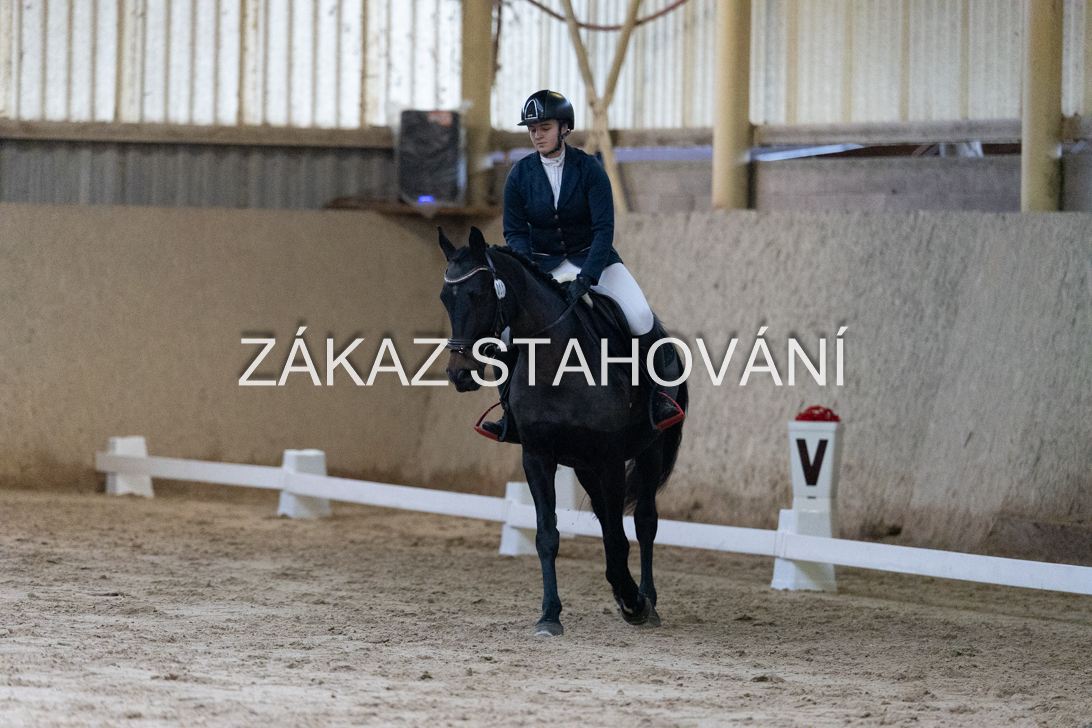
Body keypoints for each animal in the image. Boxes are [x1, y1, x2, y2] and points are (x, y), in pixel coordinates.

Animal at [438, 226, 688, 637]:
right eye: (445, 298)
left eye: (478, 294)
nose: (460, 374)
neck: (555, 362)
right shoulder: (538, 457)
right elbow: (548, 535)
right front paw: (550, 615)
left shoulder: (609, 458)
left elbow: (620, 536)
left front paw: (634, 602)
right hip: (584, 466)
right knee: (606, 518)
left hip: (649, 450)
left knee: (644, 521)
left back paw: (646, 601)